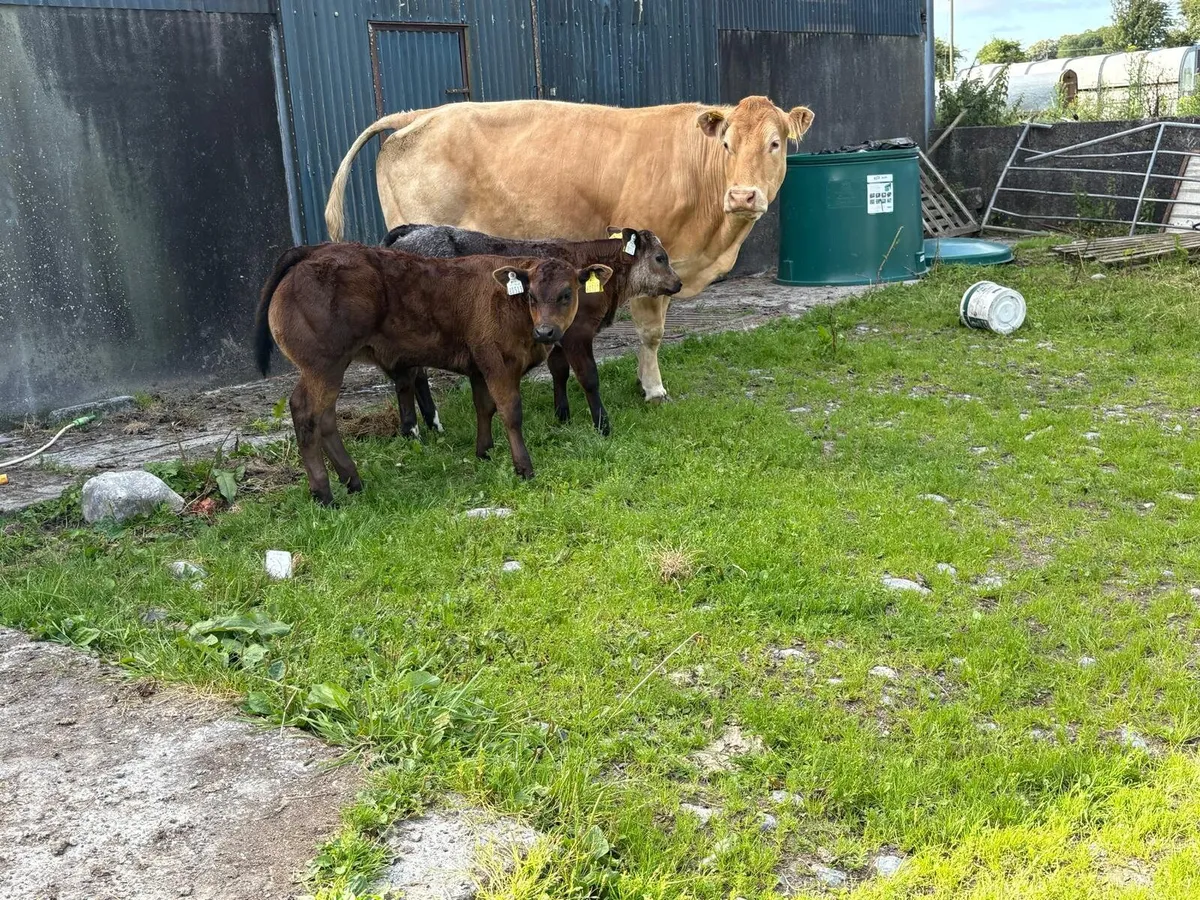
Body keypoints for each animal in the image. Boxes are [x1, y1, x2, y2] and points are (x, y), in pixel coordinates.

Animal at [254, 243, 611, 504]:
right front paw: (523, 467)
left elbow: (484, 407)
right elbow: (510, 411)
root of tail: (312, 251)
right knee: (305, 412)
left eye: (566, 294)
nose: (546, 331)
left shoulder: (478, 365)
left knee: (325, 418)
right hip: (322, 363)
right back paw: (324, 493)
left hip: (331, 366)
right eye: (532, 296)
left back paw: (352, 480)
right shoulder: (497, 361)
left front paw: (484, 452)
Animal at [323, 96, 815, 403]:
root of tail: (421, 114)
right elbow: (651, 333)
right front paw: (654, 389)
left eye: (775, 144)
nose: (742, 196)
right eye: (727, 144)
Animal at [380, 224, 682, 437]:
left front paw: (562, 415)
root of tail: (413, 231)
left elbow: (559, 372)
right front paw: (602, 425)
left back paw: (432, 426)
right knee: (411, 374)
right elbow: (588, 378)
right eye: (660, 257)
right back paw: (417, 429)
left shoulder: (554, 335)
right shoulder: (577, 334)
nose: (678, 283)